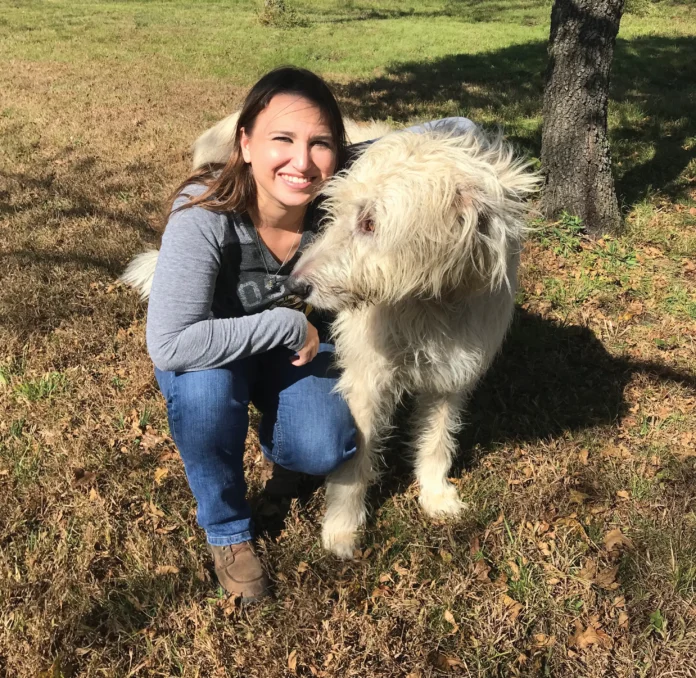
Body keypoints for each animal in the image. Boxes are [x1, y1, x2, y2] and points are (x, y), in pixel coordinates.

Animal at [122, 115, 539, 559]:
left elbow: (438, 437)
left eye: (370, 222)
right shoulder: (367, 379)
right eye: (332, 212)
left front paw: (435, 493)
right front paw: (341, 528)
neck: (434, 300)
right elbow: (356, 457)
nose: (296, 285)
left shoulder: (453, 371)